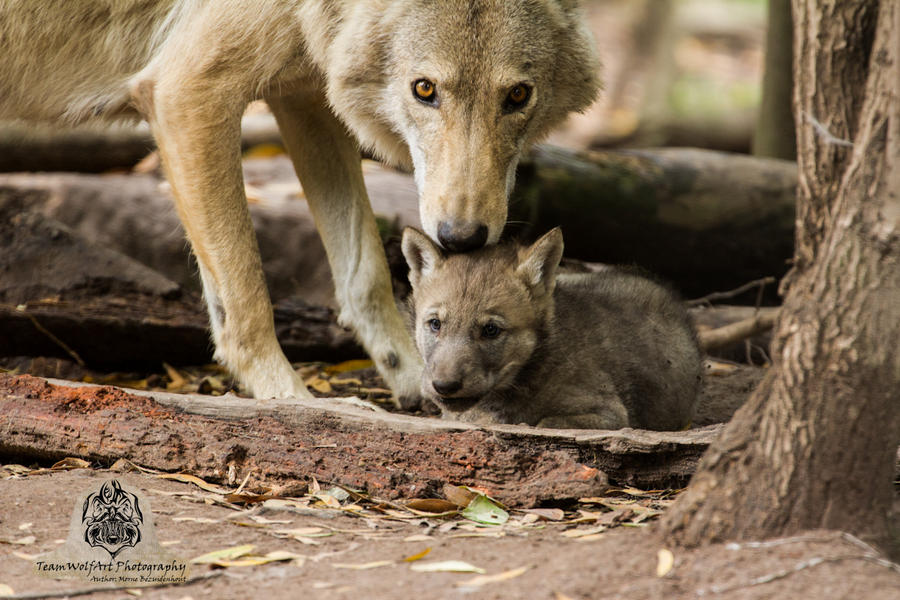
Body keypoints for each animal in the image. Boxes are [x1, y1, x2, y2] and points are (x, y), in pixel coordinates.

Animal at [5, 2, 604, 404]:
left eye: (518, 96)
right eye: (425, 89)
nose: (462, 238)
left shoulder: (306, 96)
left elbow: (363, 271)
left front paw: (414, 379)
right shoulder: (188, 90)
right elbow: (245, 300)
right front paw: (292, 406)